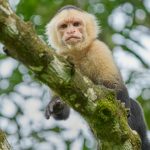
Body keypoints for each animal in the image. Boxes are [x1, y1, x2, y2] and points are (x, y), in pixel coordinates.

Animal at [44, 5, 150, 149]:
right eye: (64, 26)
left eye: (76, 24)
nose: (71, 31)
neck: (77, 53)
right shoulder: (58, 56)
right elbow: (63, 113)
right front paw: (56, 104)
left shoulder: (99, 49)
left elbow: (115, 87)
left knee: (133, 107)